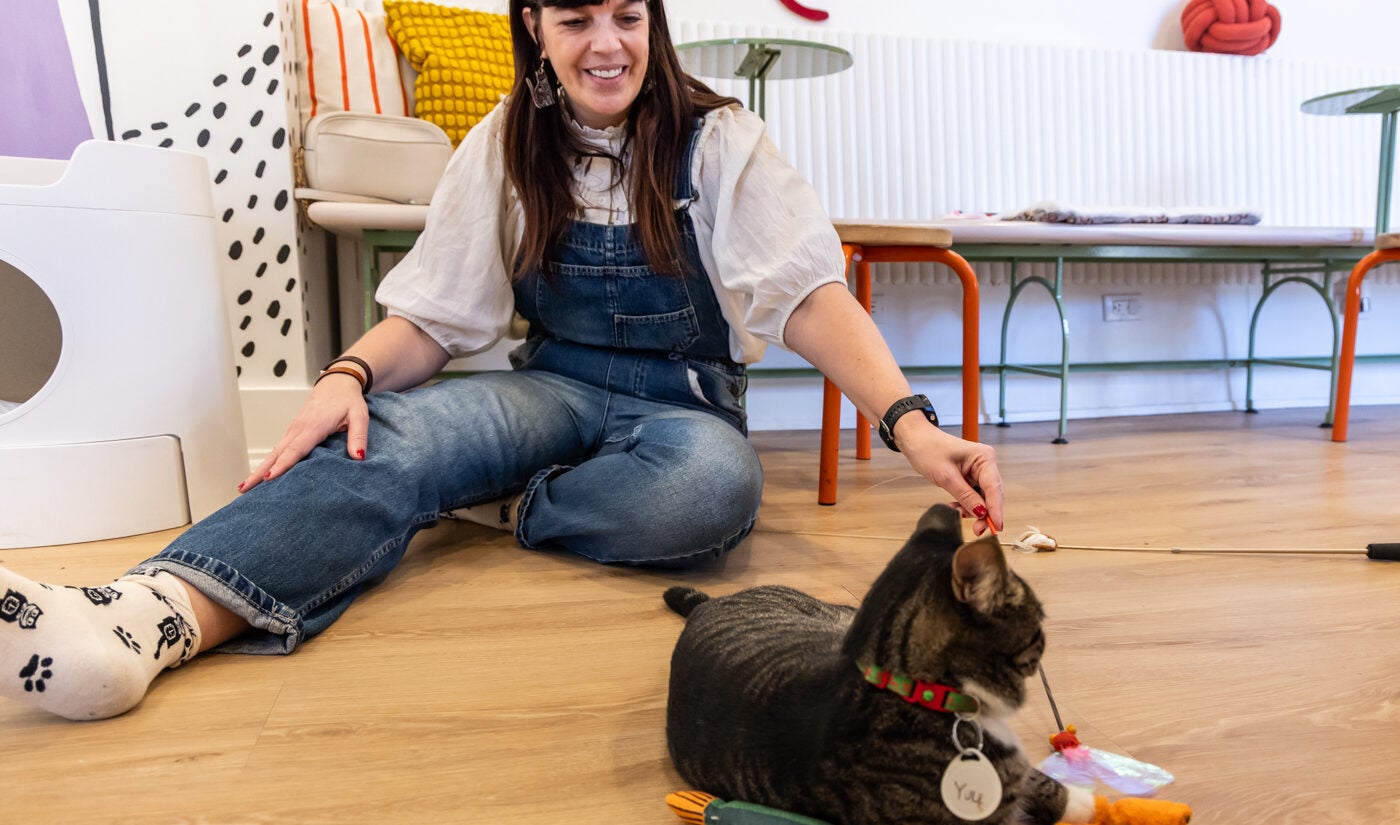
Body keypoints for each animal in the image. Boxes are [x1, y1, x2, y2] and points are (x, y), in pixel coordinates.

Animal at [660, 501, 1086, 823]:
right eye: (1038, 619)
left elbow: (1037, 781)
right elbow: (1037, 782)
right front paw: (1086, 800)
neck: (910, 690)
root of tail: (708, 604)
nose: (1047, 635)